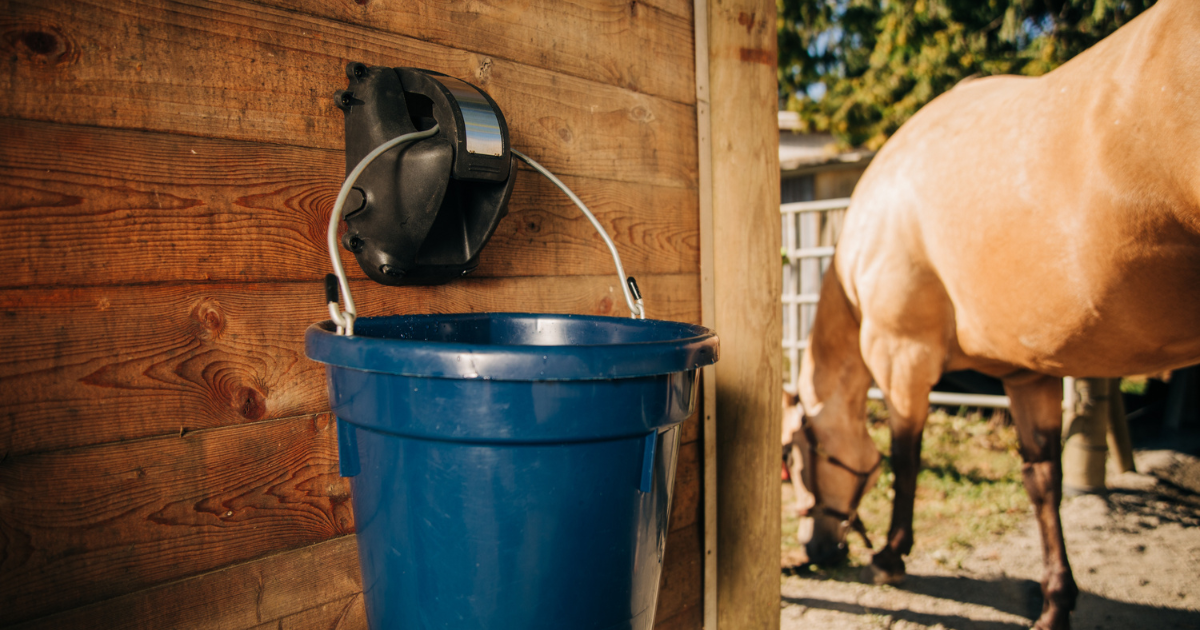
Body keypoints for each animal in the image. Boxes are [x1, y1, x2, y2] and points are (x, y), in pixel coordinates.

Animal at [786, 2, 1200, 629]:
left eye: (795, 462)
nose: (812, 548)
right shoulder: (1029, 374)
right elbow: (1042, 482)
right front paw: (1055, 600)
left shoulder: (902, 357)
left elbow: (906, 455)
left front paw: (892, 554)